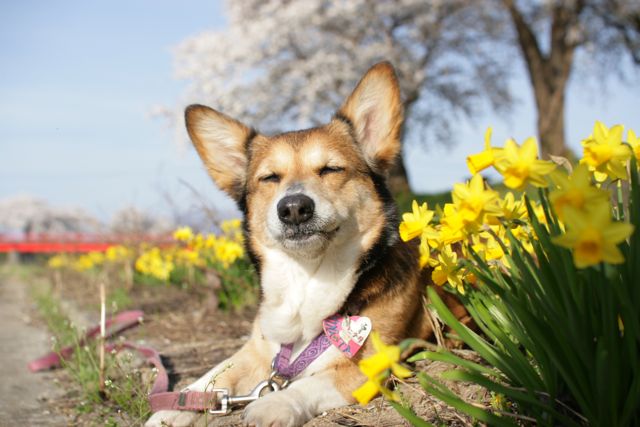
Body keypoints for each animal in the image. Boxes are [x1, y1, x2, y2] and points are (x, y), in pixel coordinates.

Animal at [148, 61, 468, 427]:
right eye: (270, 178)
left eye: (330, 169)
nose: (293, 208)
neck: (307, 278)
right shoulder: (254, 350)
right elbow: (211, 379)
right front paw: (170, 409)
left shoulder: (368, 364)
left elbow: (311, 383)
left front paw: (274, 403)